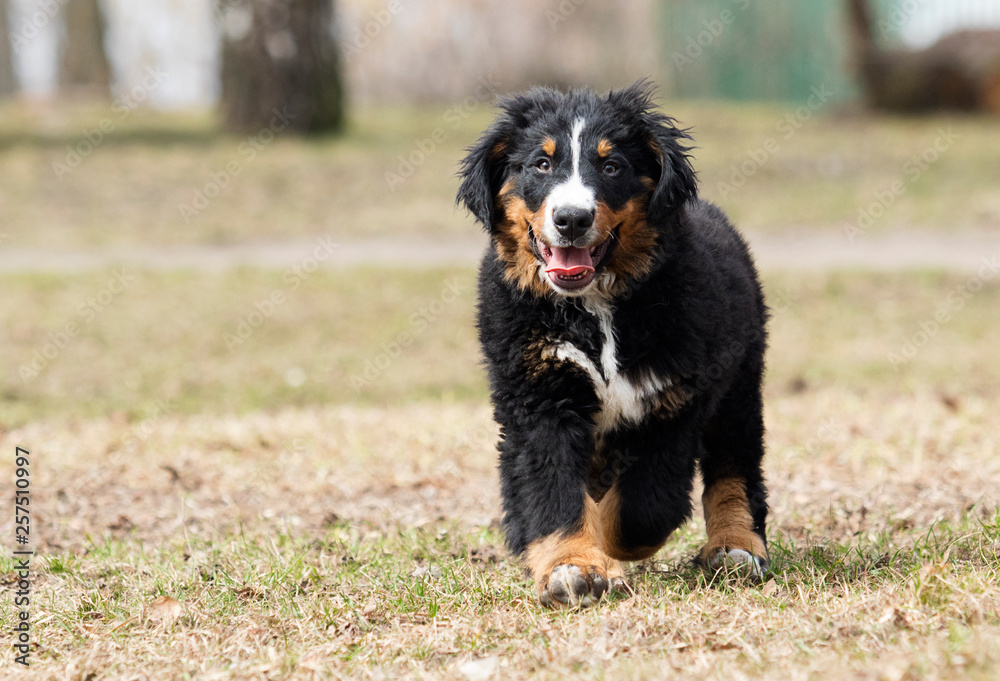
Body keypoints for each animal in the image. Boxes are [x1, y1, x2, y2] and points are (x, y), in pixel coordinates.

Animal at [458, 82, 768, 608]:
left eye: (611, 167)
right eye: (541, 164)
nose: (571, 219)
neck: (594, 307)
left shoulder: (673, 400)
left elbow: (644, 506)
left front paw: (601, 543)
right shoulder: (539, 397)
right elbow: (553, 488)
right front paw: (571, 566)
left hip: (740, 384)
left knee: (735, 466)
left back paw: (736, 546)